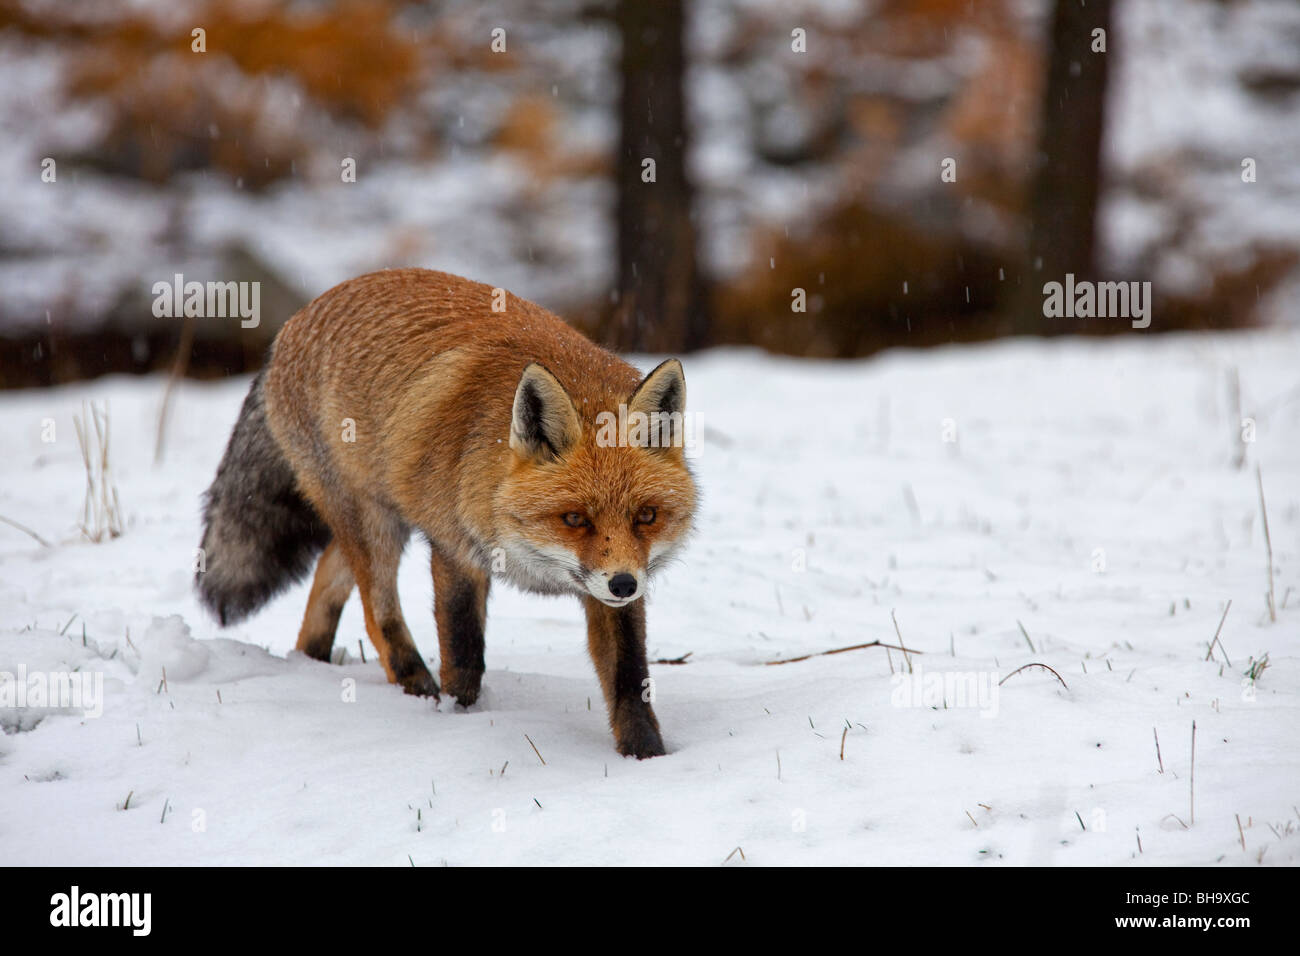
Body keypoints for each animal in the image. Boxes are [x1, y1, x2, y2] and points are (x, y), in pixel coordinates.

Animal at [195, 268, 696, 758]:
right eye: (574, 519)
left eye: (647, 516)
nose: (624, 583)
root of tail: (296, 319)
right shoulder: (456, 550)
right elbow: (464, 653)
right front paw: (460, 719)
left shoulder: (612, 591)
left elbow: (630, 679)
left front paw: (646, 756)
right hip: (372, 522)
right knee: (378, 613)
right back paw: (416, 687)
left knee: (328, 575)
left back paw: (310, 663)